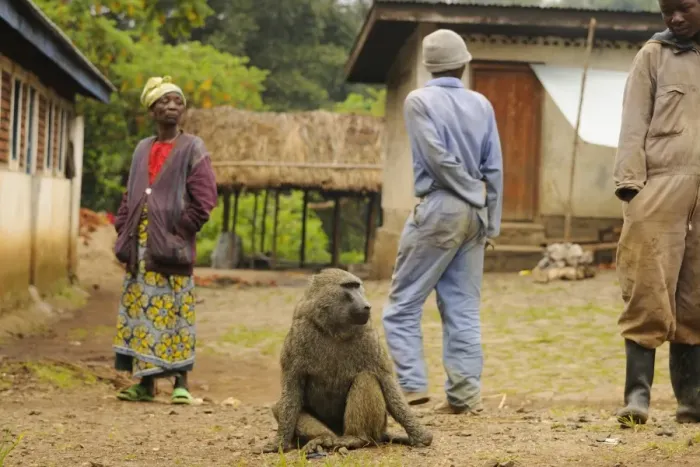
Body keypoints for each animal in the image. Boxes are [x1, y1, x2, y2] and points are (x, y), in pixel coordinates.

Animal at [260, 268, 433, 454]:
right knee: (279, 406)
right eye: (348, 286)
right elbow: (292, 389)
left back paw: (355, 438)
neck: (334, 330)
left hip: (374, 428)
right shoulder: (298, 335)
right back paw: (323, 439)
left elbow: (386, 381)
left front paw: (420, 436)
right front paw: (279, 443)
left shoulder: (368, 336)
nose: (367, 306)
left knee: (366, 379)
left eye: (357, 286)